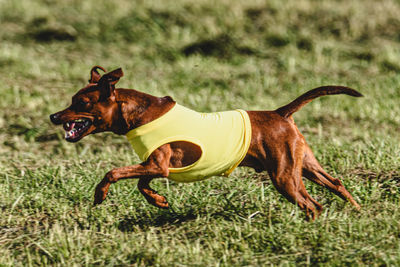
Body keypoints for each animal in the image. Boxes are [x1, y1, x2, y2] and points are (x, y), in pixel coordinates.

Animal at [50, 66, 362, 220]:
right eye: (72, 100)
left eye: (81, 103)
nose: (54, 116)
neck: (137, 113)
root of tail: (280, 112)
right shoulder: (154, 165)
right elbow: (141, 184)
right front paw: (159, 201)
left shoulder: (158, 165)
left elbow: (113, 172)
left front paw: (100, 194)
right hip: (304, 165)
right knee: (335, 183)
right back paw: (357, 210)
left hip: (284, 176)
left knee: (312, 205)